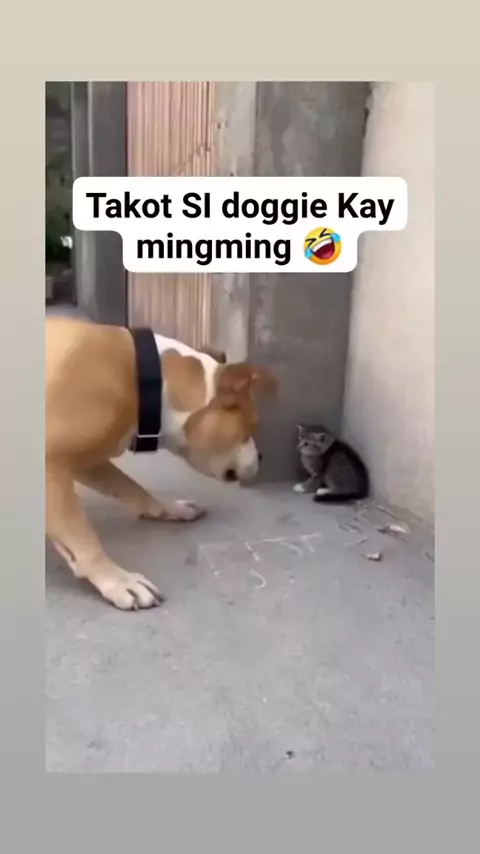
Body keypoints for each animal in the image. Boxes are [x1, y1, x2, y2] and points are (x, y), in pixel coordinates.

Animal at [46, 316, 278, 611]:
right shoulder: (51, 467)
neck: (147, 383)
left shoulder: (86, 460)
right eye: (251, 427)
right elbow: (80, 533)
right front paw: (116, 579)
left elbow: (129, 487)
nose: (261, 457)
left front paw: (168, 509)